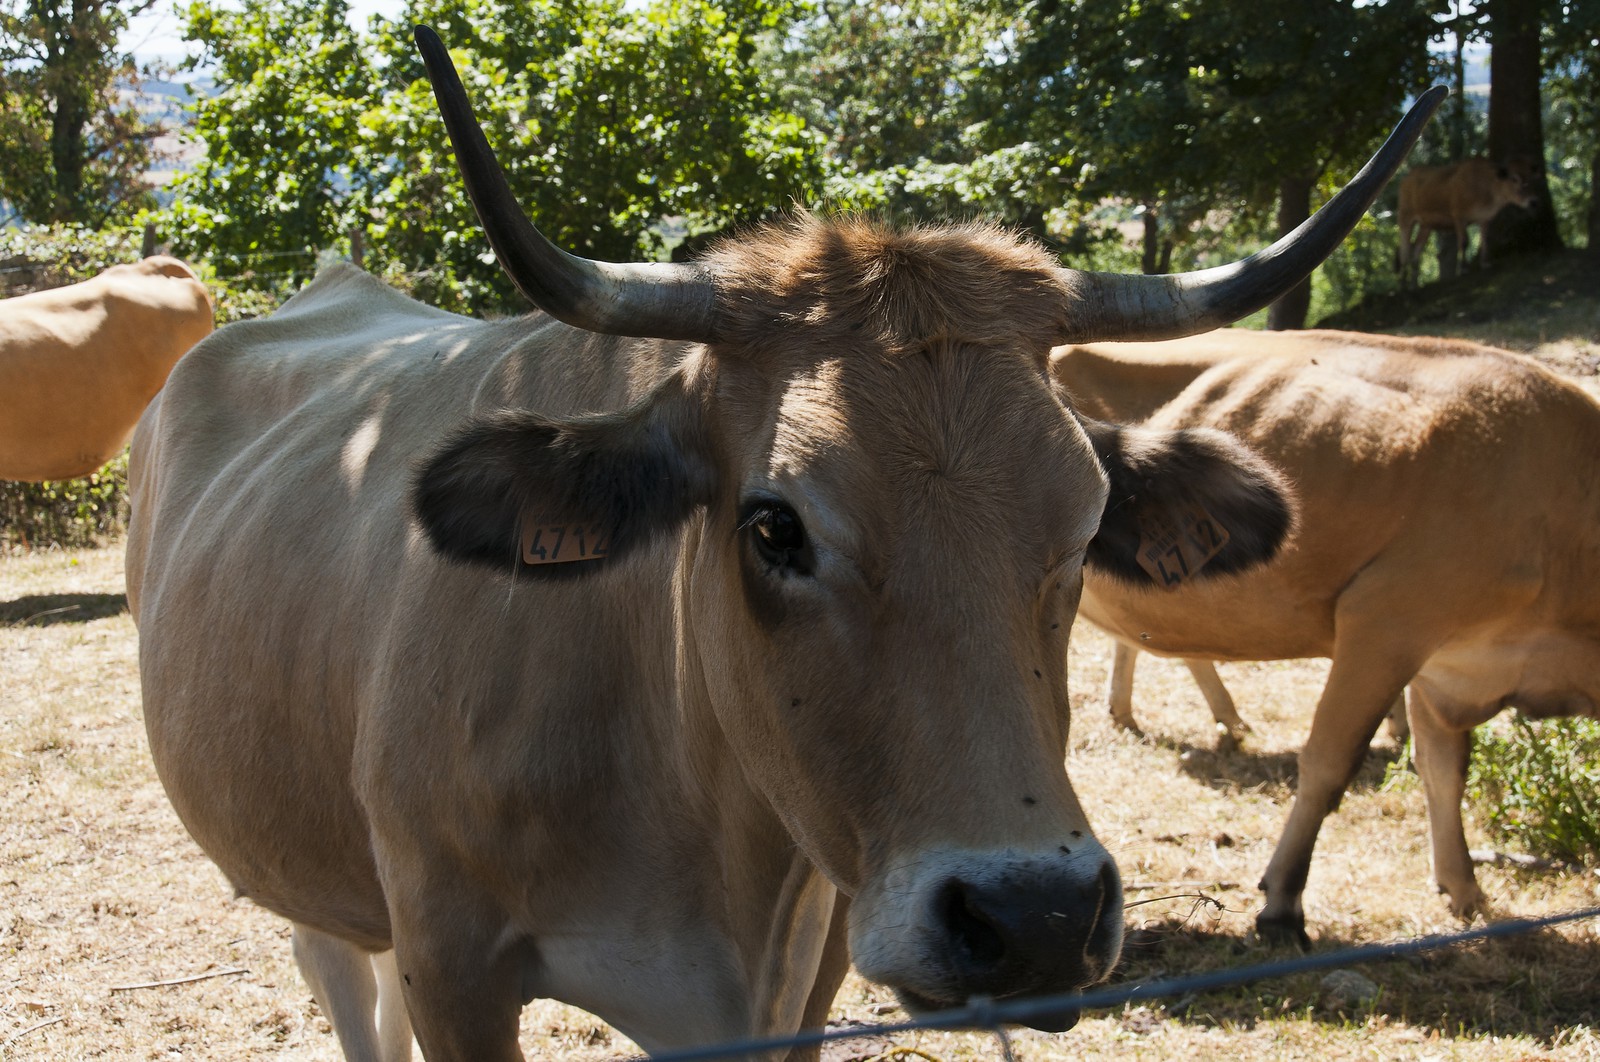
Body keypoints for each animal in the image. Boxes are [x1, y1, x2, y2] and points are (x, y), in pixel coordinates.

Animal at [124, 26, 1441, 1059]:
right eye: (773, 524)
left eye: (1085, 525)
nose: (1036, 918)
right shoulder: (454, 963)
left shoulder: (811, 959)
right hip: (313, 878)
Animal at [1053, 327, 1600, 948]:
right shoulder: (1386, 617)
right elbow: (1329, 764)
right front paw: (1283, 903)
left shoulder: (1446, 664)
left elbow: (1443, 770)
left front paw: (1463, 888)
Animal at [1396, 156, 1539, 286]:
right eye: (1514, 178)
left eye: (1532, 177)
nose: (1533, 202)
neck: (1486, 185)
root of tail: (1407, 178)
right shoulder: (1459, 218)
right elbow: (1464, 242)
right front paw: (1464, 269)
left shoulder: (1484, 220)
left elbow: (1485, 240)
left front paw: (1485, 263)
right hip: (1406, 220)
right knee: (1404, 251)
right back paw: (1403, 284)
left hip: (1426, 226)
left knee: (1416, 252)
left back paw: (1414, 285)